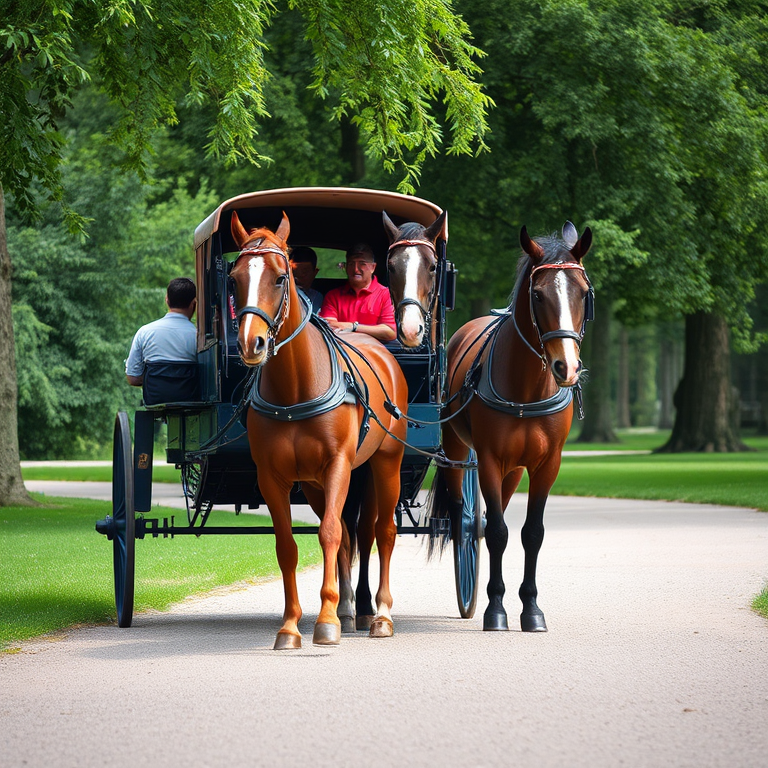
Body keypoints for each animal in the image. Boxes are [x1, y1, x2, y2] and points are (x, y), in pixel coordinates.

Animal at [228, 210, 408, 649]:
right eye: (234, 278)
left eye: (280, 277)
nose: (251, 344)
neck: (296, 388)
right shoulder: (273, 477)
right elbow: (289, 545)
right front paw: (292, 624)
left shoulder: (339, 464)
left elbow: (328, 533)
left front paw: (325, 622)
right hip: (313, 484)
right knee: (349, 531)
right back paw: (348, 609)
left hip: (386, 463)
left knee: (382, 531)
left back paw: (380, 614)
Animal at [429, 221, 593, 632]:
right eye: (537, 294)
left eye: (584, 293)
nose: (567, 367)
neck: (526, 388)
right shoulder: (488, 460)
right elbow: (497, 533)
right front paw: (496, 609)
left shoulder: (546, 465)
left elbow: (531, 533)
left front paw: (531, 609)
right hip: (458, 450)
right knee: (465, 518)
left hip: (515, 469)